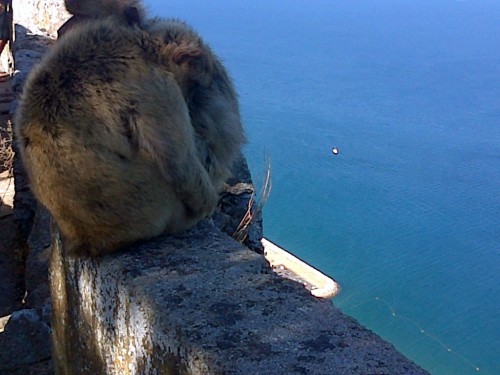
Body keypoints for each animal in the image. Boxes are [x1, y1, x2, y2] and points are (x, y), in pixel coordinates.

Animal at [17, 10, 246, 258]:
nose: (194, 95)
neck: (147, 50)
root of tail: (87, 240)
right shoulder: (159, 89)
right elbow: (178, 164)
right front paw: (208, 204)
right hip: (165, 212)